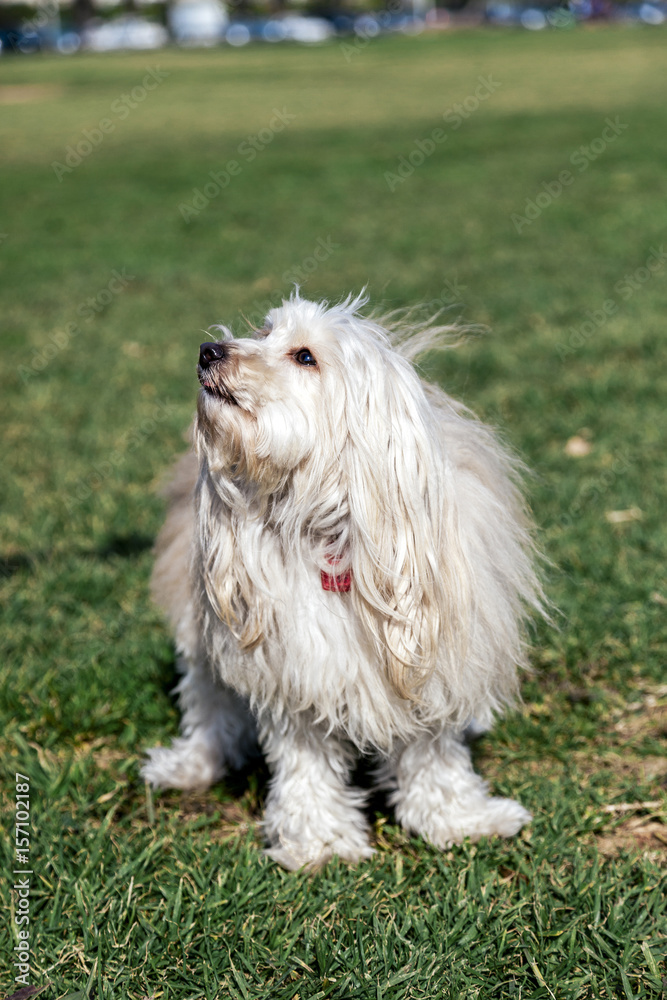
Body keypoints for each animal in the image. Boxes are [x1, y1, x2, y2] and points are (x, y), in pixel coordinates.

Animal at [144, 292, 544, 868]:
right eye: (263, 332)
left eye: (305, 356)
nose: (208, 350)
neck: (330, 531)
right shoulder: (295, 670)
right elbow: (305, 764)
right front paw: (322, 841)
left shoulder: (425, 660)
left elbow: (435, 755)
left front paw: (463, 819)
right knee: (208, 698)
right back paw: (191, 764)